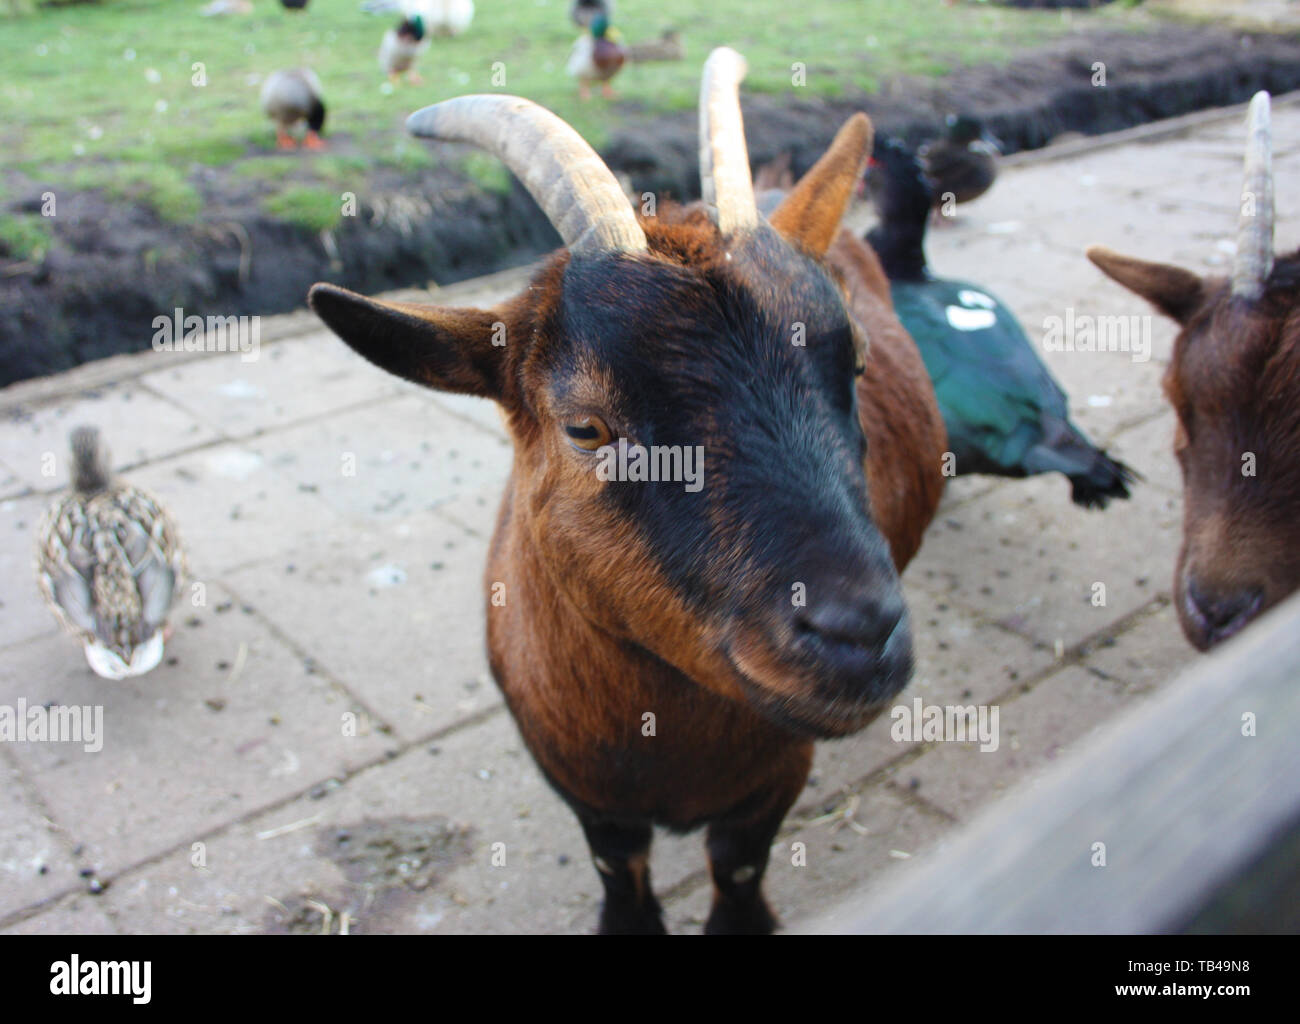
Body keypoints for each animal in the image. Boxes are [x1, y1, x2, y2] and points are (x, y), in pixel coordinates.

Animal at [307, 48, 946, 934]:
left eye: (852, 365)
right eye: (585, 427)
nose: (860, 631)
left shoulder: (775, 776)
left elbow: (737, 867)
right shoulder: (586, 793)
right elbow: (622, 869)